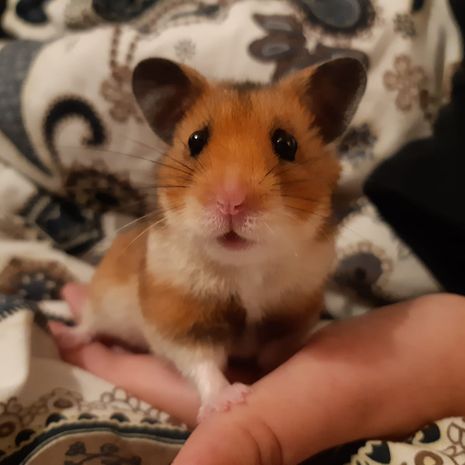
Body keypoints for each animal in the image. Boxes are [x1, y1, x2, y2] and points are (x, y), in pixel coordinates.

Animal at [57, 57, 367, 421]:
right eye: (196, 140)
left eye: (286, 143)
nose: (230, 201)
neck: (245, 266)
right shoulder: (179, 315)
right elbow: (202, 362)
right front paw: (229, 401)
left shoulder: (294, 310)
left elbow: (280, 349)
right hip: (105, 296)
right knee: (89, 323)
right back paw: (65, 338)